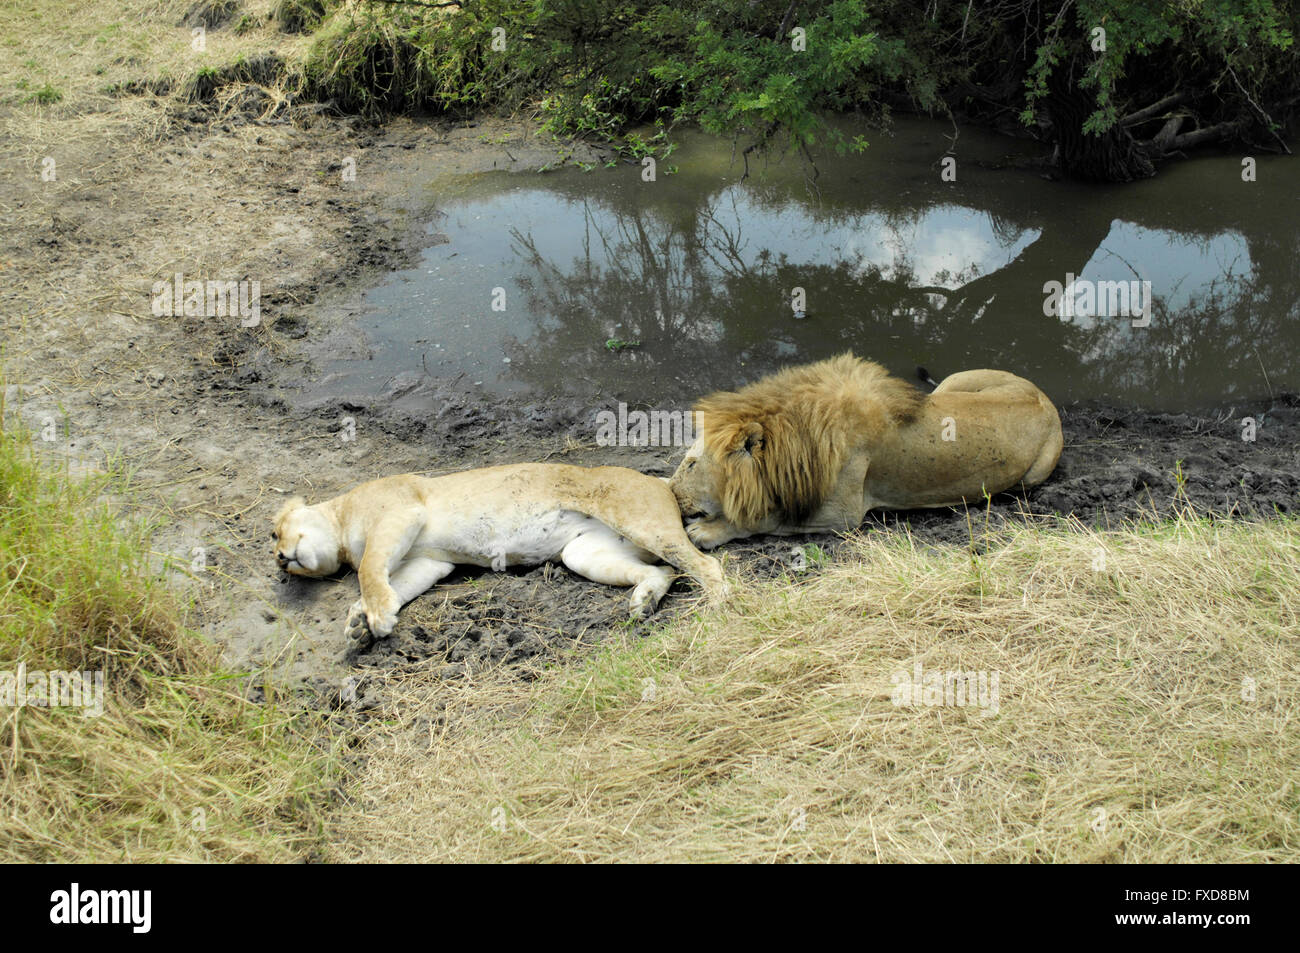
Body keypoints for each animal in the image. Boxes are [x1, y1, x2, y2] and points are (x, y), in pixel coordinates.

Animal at [273, 463, 729, 651]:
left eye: (274, 532)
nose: (279, 559)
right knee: (664, 571)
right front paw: (359, 627)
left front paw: (375, 618)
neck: (340, 520)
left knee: (708, 567)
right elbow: (391, 586)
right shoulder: (427, 562)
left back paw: (716, 613)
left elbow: (369, 571)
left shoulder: (401, 512)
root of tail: (663, 482)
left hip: (638, 521)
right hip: (583, 553)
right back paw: (645, 601)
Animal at [670, 353, 1063, 548]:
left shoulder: (844, 514)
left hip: (1034, 473)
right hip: (956, 383)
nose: (671, 495)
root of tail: (1045, 400)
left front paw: (707, 531)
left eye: (690, 465)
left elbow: (762, 519)